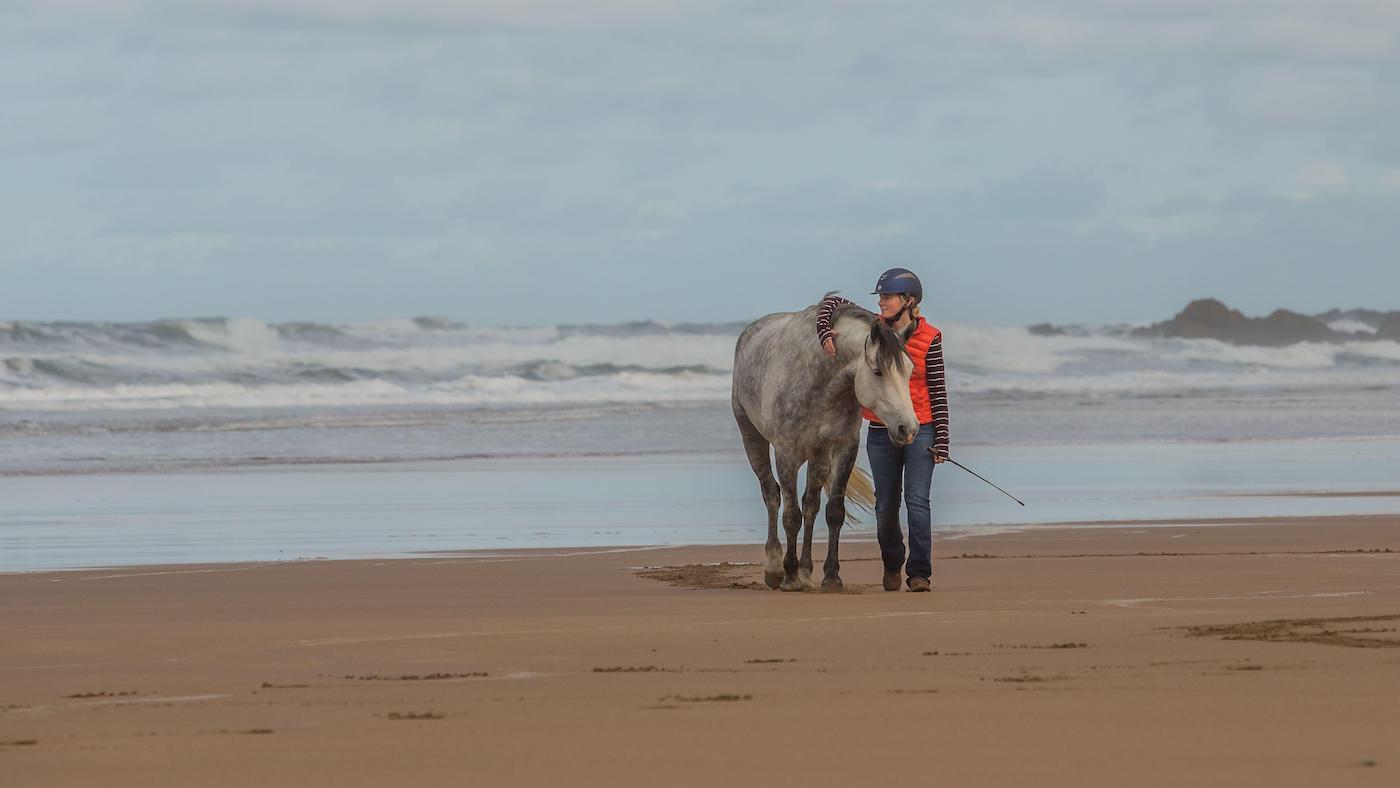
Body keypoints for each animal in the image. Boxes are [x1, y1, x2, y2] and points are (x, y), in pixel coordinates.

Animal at [731, 295, 920, 592]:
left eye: (910, 371)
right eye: (878, 371)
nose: (908, 429)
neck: (818, 378)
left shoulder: (843, 449)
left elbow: (833, 511)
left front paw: (830, 576)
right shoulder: (787, 454)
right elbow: (791, 515)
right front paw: (790, 576)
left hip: (818, 456)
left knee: (811, 504)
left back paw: (806, 570)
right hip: (752, 437)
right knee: (772, 495)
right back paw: (775, 567)